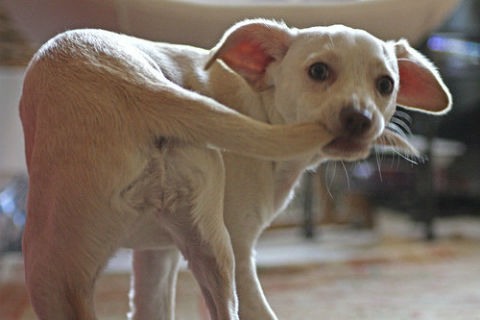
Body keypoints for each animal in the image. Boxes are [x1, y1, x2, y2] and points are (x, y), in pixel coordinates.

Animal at [21, 18, 450, 318]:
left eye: (386, 85)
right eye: (318, 71)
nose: (360, 119)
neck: (261, 106)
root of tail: (134, 85)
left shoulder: (162, 254)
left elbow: (149, 307)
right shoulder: (217, 251)